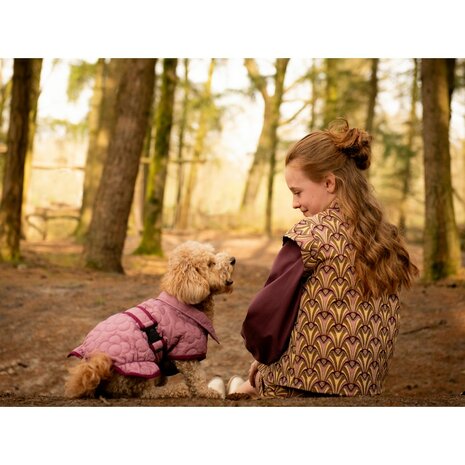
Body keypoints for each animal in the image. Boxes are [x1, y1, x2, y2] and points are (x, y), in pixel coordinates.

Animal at [64, 241, 236, 396]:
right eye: (210, 263)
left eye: (214, 254)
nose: (233, 259)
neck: (182, 300)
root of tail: (92, 363)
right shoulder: (186, 349)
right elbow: (196, 375)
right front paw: (206, 391)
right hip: (141, 369)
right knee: (148, 392)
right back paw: (177, 389)